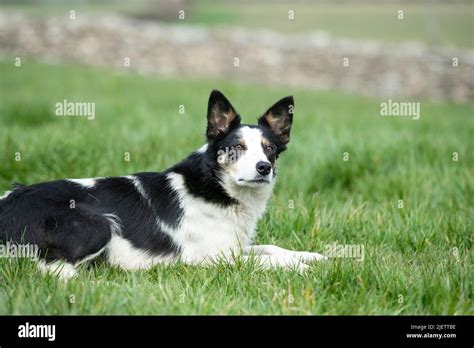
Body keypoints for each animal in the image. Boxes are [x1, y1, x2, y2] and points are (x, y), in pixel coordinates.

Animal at [0, 90, 326, 278]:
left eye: (269, 149)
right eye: (237, 148)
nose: (264, 168)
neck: (218, 189)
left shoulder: (233, 247)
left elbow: (271, 249)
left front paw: (314, 257)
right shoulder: (213, 258)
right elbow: (264, 261)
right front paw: (301, 268)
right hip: (97, 224)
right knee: (49, 267)